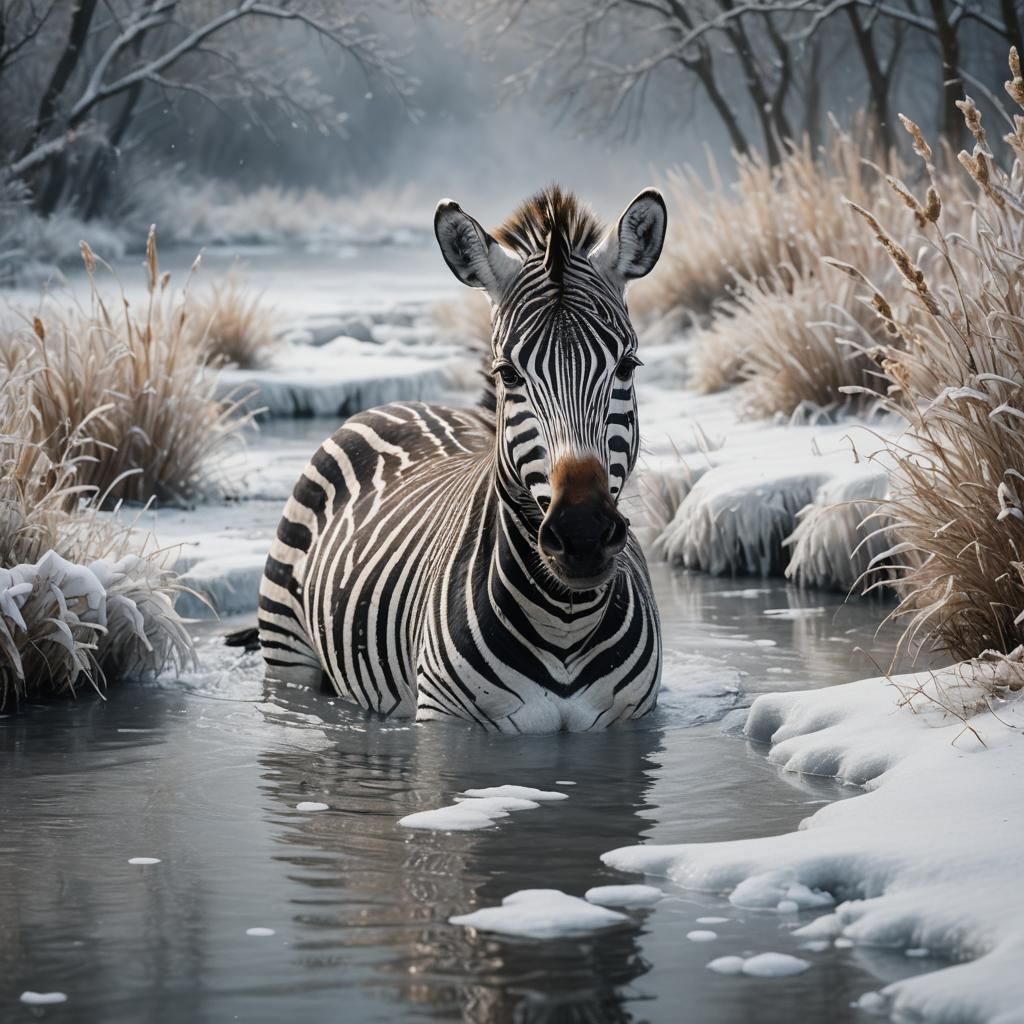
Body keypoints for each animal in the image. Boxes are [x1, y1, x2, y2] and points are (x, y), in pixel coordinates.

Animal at [256, 185, 667, 732]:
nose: (582, 534)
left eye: (627, 365)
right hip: (288, 652)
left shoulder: (632, 725)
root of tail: (401, 404)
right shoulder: (447, 726)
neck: (565, 623)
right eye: (508, 373)